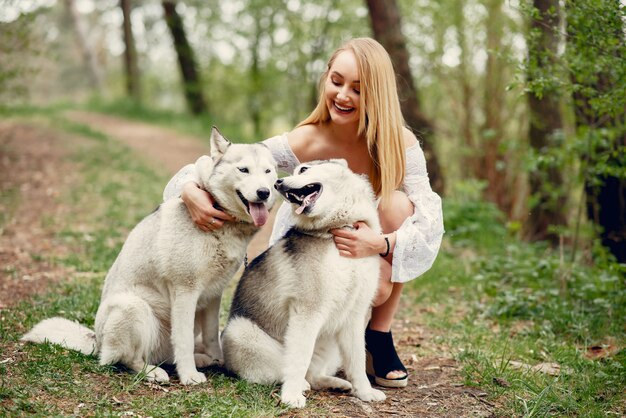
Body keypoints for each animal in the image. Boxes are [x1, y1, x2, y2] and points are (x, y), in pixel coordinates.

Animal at [22, 127, 276, 386]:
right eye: (243, 170)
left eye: (268, 172)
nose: (264, 192)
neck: (222, 219)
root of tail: (97, 340)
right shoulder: (185, 291)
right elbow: (183, 341)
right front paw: (189, 376)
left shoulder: (213, 294)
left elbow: (212, 335)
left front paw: (218, 361)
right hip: (134, 308)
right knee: (127, 359)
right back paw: (153, 372)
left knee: (165, 355)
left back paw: (201, 359)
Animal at [219, 160, 386, 408]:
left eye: (304, 170)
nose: (278, 183)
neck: (336, 230)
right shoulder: (307, 312)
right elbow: (298, 359)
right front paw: (291, 396)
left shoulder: (355, 316)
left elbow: (357, 360)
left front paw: (364, 392)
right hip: (240, 331)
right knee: (285, 370)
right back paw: (301, 385)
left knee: (314, 374)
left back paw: (336, 383)